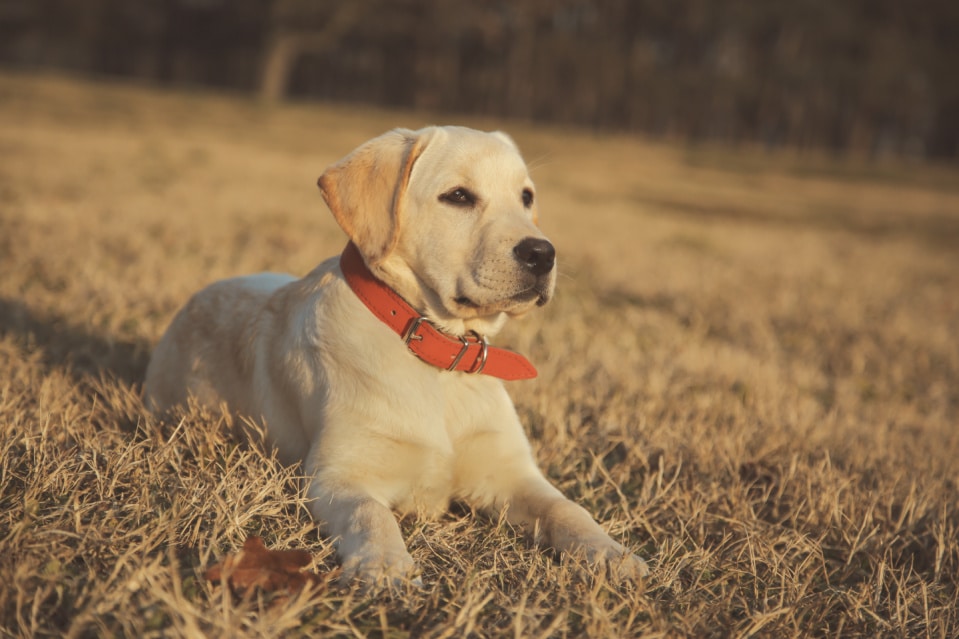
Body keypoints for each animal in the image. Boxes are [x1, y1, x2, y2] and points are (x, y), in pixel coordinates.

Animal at [144, 126, 652, 592]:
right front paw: (385, 566)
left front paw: (612, 554)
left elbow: (567, 507)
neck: (441, 358)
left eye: (526, 197)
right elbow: (370, 513)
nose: (543, 253)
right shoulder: (336, 476)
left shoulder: (510, 472)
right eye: (458, 196)